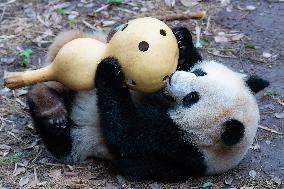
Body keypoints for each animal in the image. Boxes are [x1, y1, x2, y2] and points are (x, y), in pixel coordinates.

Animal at [26, 25, 268, 181]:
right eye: (200, 72)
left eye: (192, 98)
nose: (171, 78)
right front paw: (182, 40)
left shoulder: (177, 148)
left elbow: (127, 135)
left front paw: (110, 72)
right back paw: (47, 99)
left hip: (81, 139)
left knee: (62, 142)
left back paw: (50, 110)